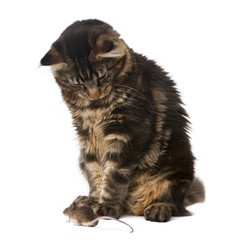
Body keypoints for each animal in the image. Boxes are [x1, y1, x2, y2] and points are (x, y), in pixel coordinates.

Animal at [40, 18, 205, 221]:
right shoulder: (87, 138)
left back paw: (158, 208)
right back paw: (83, 200)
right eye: (78, 84)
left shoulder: (127, 133)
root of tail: (133, 208)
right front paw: (94, 202)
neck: (95, 109)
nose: (94, 94)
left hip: (176, 169)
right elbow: (96, 174)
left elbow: (114, 176)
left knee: (174, 203)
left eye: (102, 76)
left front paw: (107, 207)